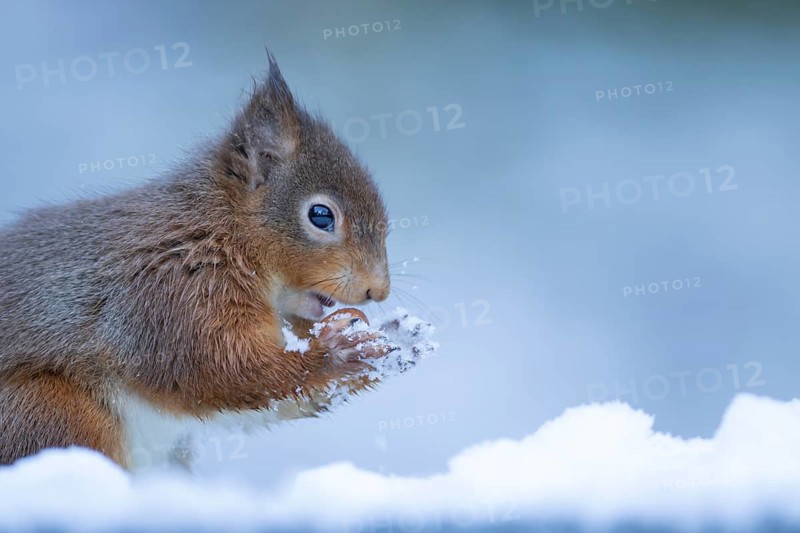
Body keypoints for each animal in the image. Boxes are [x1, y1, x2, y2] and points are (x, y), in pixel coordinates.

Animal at [0, 54, 397, 469]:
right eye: (321, 216)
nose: (378, 291)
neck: (222, 231)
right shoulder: (170, 292)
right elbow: (218, 371)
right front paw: (339, 352)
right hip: (52, 410)